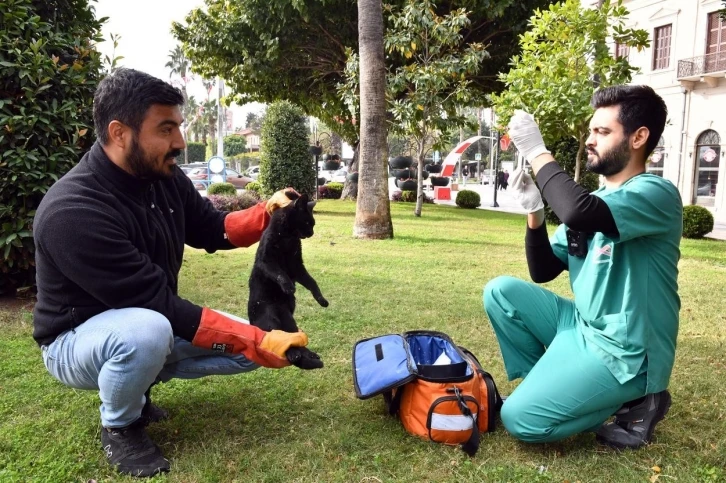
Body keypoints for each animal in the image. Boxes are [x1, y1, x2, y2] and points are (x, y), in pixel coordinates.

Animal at [250, 191, 330, 368]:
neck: (287, 238)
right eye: (308, 222)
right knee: (281, 340)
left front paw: (321, 299)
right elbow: (279, 273)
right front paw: (288, 287)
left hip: (289, 321)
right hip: (270, 319)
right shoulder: (267, 260)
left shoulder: (297, 266)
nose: (311, 233)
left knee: (294, 340)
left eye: (313, 224)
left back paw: (309, 355)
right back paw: (294, 355)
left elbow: (312, 282)